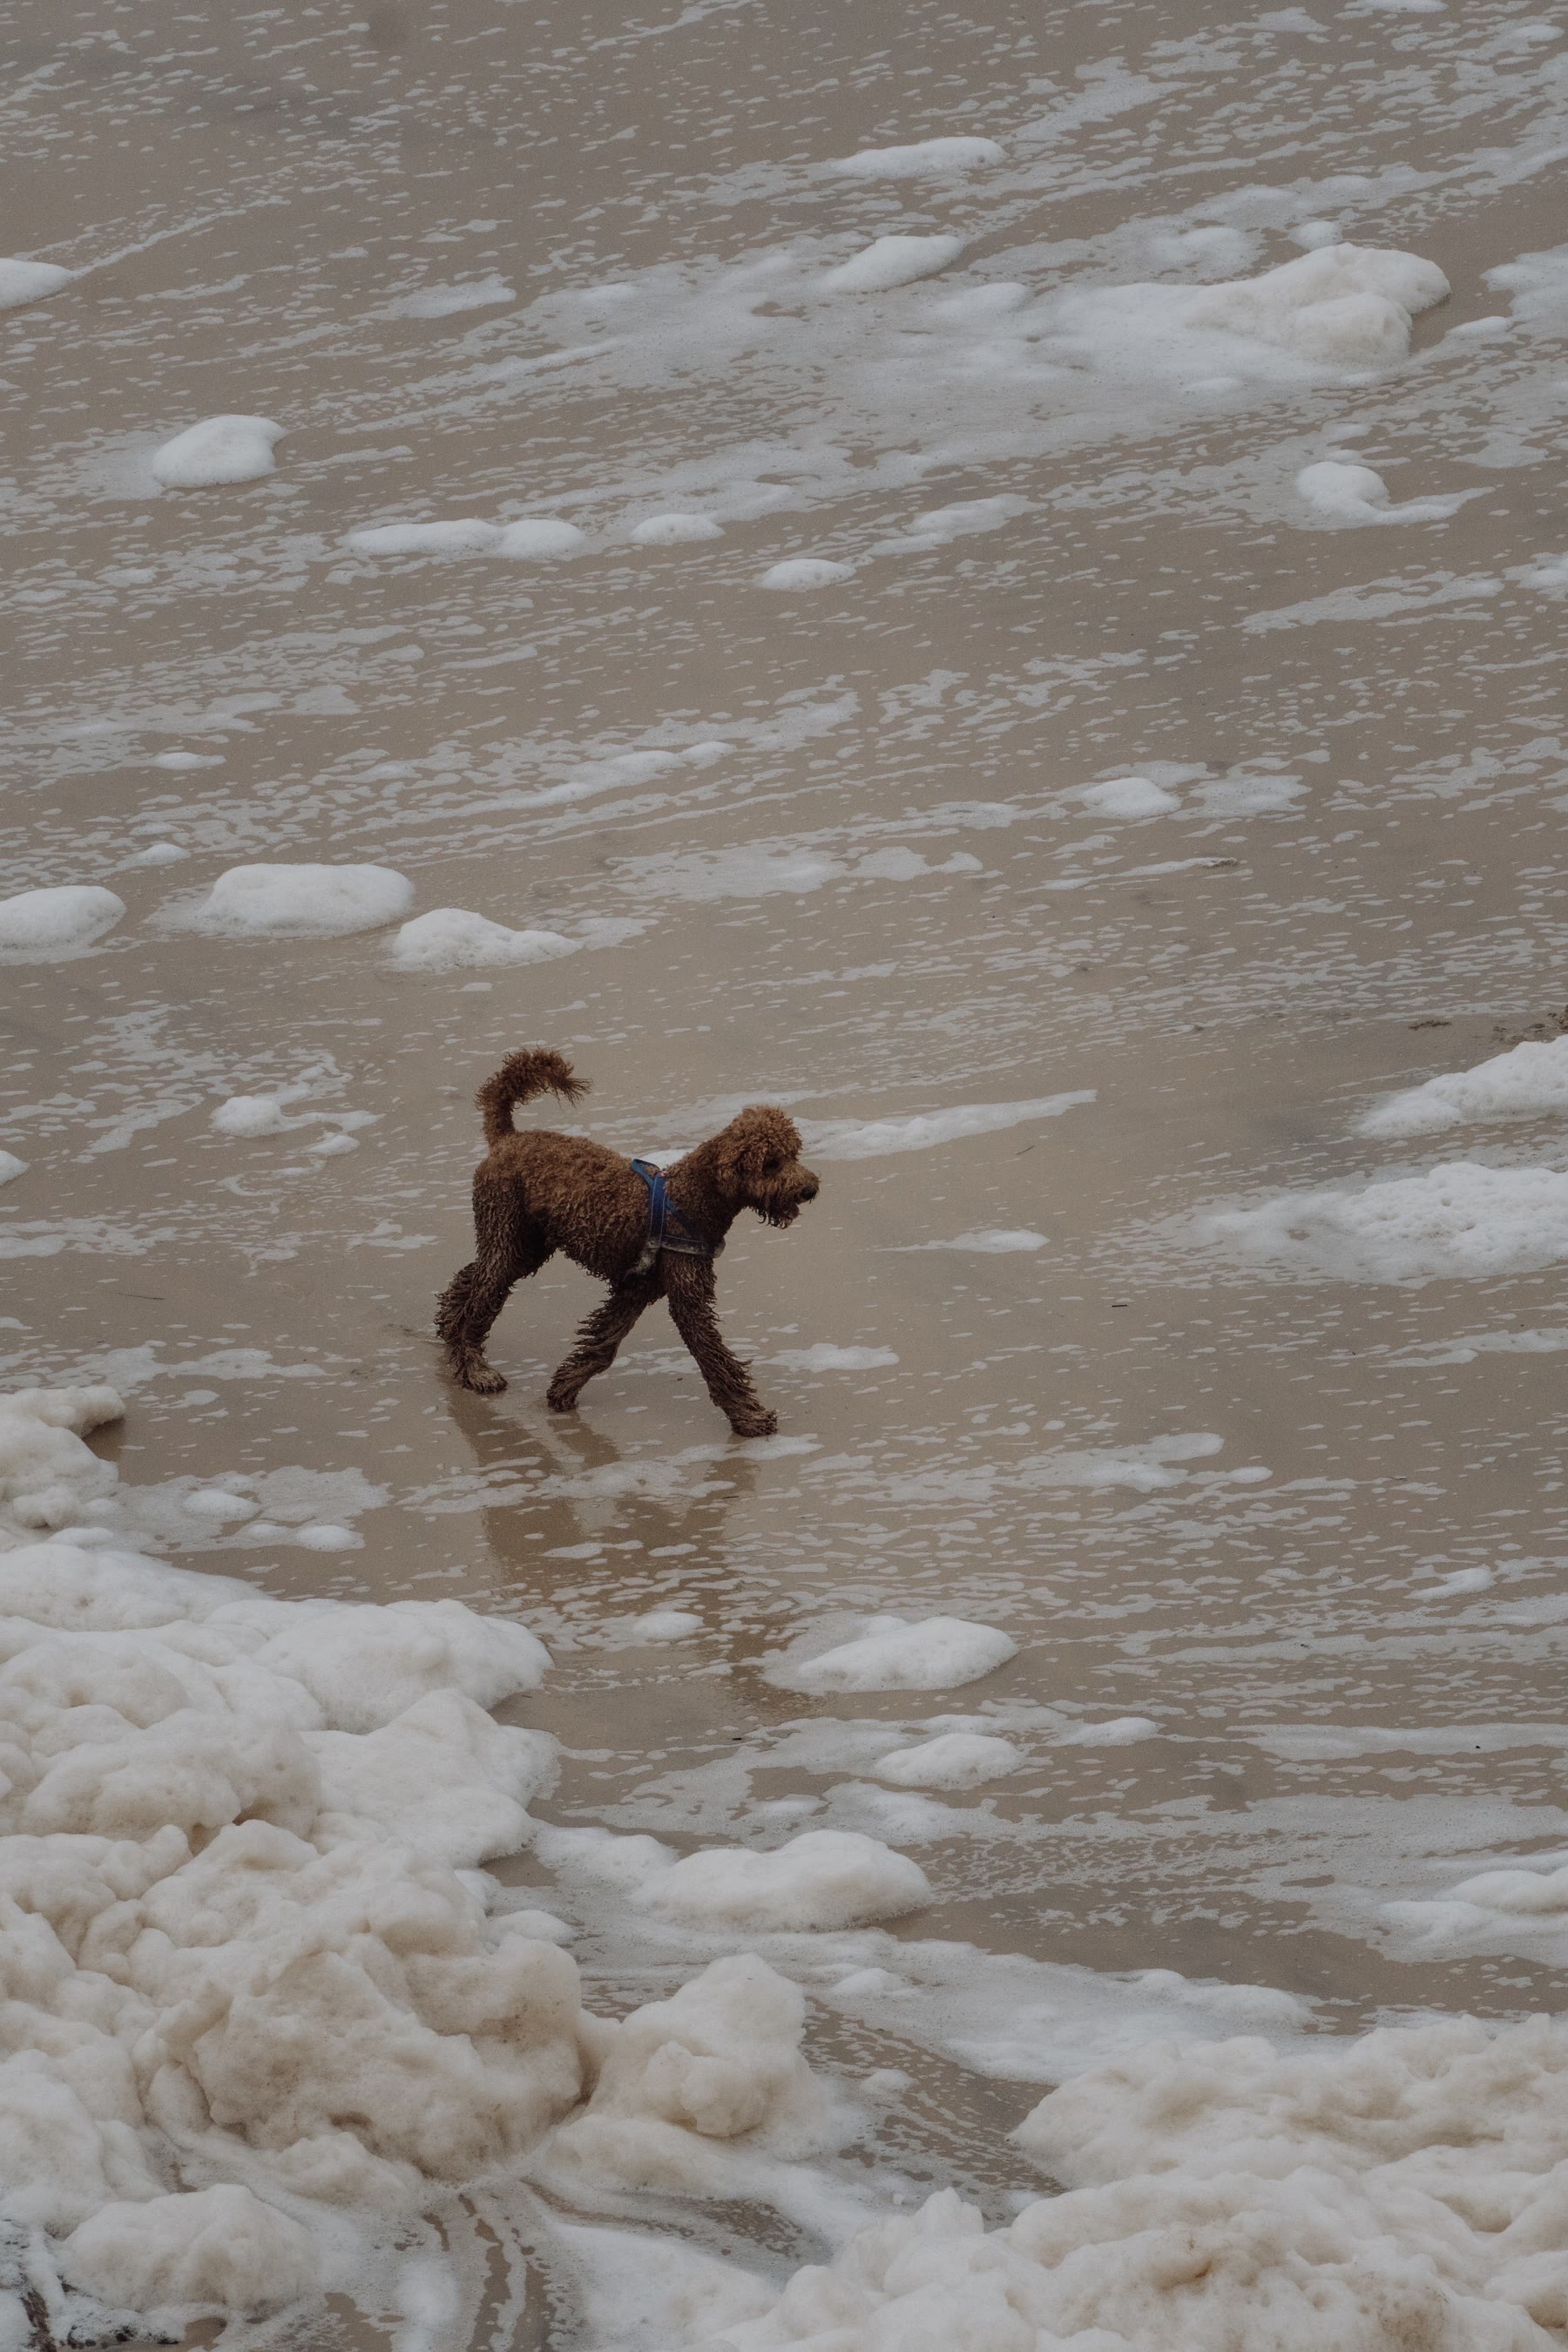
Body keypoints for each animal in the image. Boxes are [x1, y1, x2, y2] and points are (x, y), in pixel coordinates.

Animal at [435, 1048, 819, 1436]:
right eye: (771, 1163)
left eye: (793, 1154)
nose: (810, 1190)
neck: (693, 1196)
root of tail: (506, 1139)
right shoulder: (685, 1297)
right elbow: (713, 1358)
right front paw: (748, 1415)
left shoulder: (636, 1288)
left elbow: (603, 1344)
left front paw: (564, 1387)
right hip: (507, 1234)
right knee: (480, 1301)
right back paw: (474, 1369)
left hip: (525, 1246)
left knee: (469, 1279)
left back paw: (449, 1332)